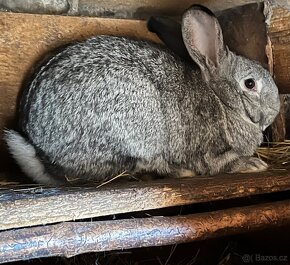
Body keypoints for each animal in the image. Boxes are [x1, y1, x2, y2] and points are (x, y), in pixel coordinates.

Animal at [4, 5, 280, 184]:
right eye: (250, 84)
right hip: (137, 120)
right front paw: (253, 164)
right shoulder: (208, 153)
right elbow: (217, 164)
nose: (275, 110)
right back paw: (180, 172)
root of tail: (39, 151)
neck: (223, 101)